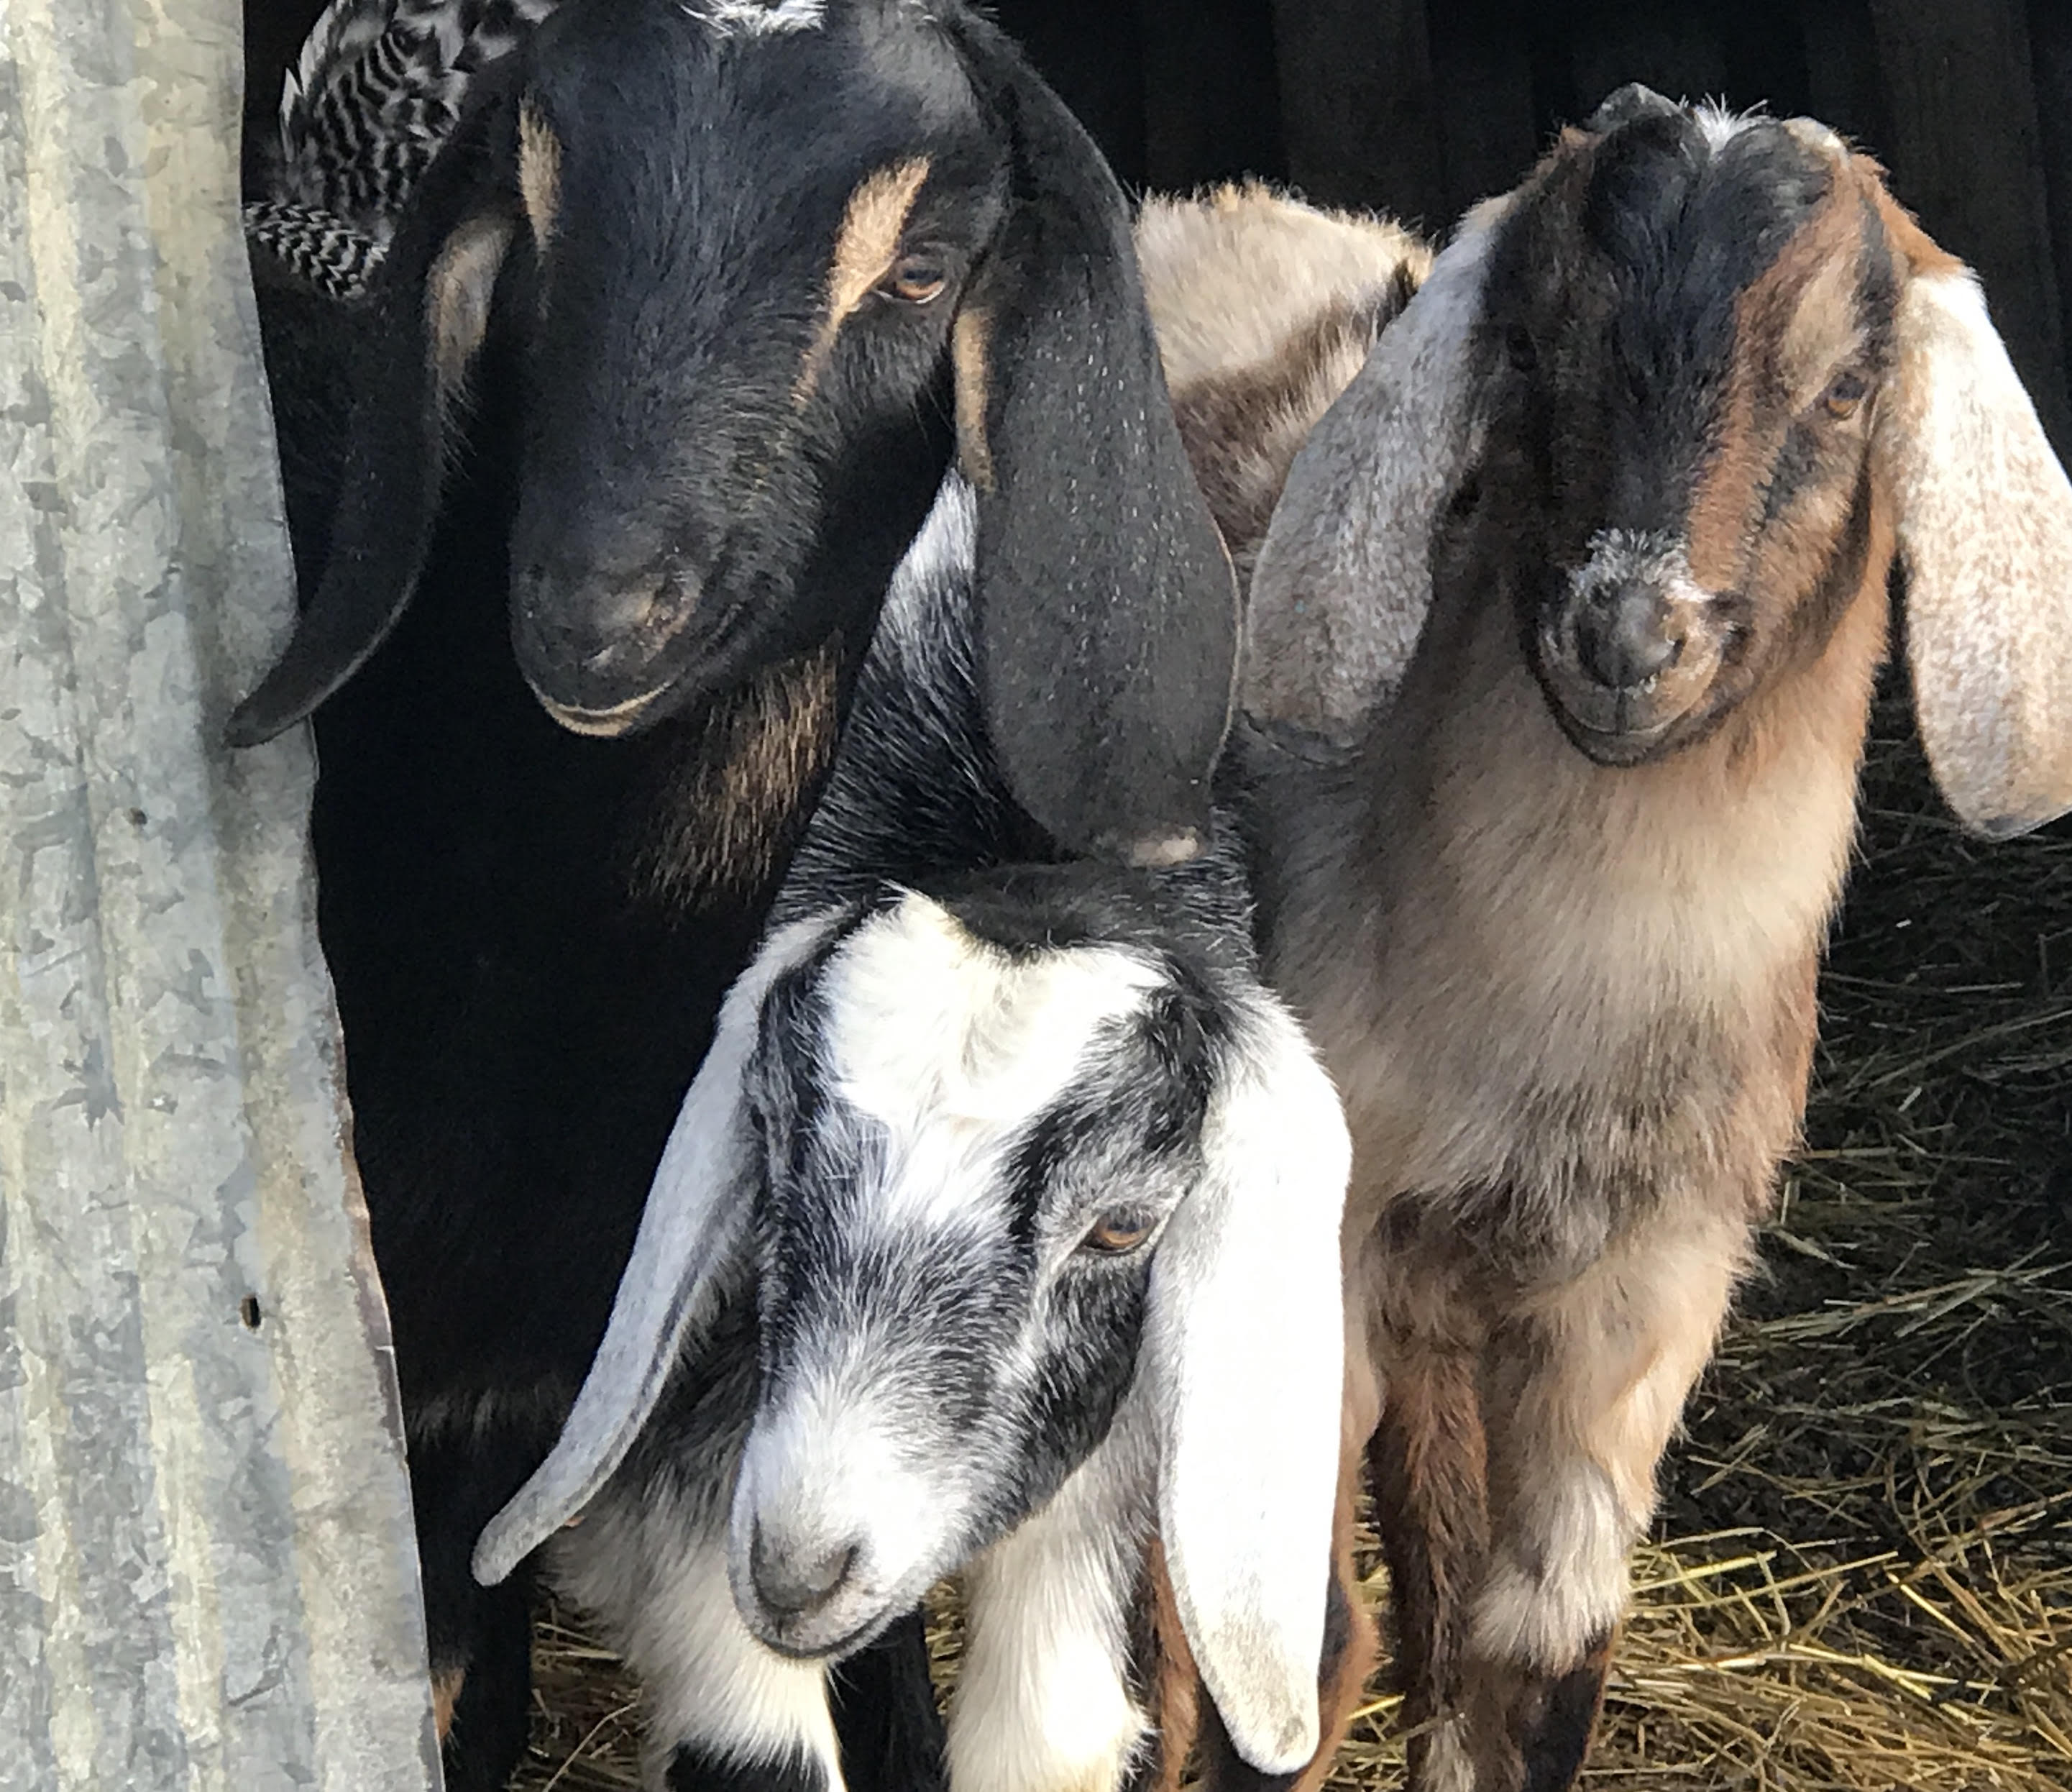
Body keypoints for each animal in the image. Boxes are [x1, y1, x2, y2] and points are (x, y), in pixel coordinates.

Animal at [1215, 86, 2072, 1792]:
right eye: (1528, 347)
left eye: (1850, 385)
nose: (1624, 636)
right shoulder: (1315, 1238)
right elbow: (1302, 1654)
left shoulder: (1647, 1278)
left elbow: (1542, 1662)